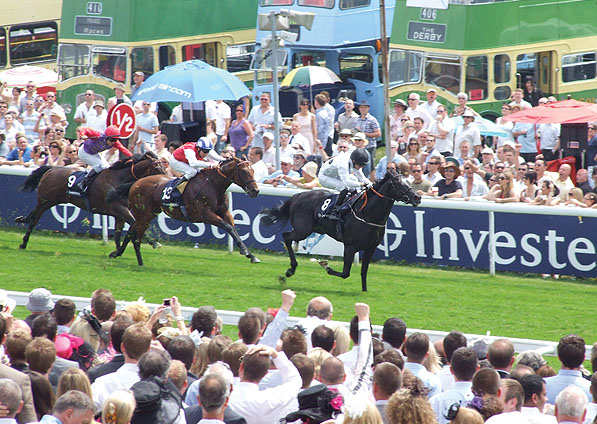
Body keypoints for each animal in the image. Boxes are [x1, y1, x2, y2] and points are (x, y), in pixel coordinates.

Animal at [16, 152, 165, 250]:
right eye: (157, 168)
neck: (119, 179)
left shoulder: (120, 213)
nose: (165, 180)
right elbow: (135, 223)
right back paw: (24, 243)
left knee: (33, 215)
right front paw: (154, 243)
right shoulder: (119, 209)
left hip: (49, 201)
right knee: (34, 219)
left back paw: (21, 219)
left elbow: (119, 234)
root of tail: (51, 169)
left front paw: (117, 252)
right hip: (46, 200)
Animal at [106, 157, 258, 266]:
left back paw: (117, 253)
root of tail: (136, 183)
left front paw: (251, 255)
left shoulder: (225, 212)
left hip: (147, 214)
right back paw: (140, 263)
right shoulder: (206, 215)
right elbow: (228, 227)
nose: (255, 191)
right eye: (244, 171)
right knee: (136, 237)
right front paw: (245, 251)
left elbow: (233, 229)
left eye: (253, 171)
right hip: (145, 216)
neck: (214, 186)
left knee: (131, 230)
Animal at [260, 169, 420, 292]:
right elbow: (345, 273)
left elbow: (363, 271)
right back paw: (291, 270)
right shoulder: (350, 247)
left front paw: (364, 292)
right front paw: (326, 267)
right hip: (303, 230)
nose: (417, 197)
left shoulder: (371, 248)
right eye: (398, 183)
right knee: (286, 236)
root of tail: (296, 196)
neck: (368, 214)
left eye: (408, 182)